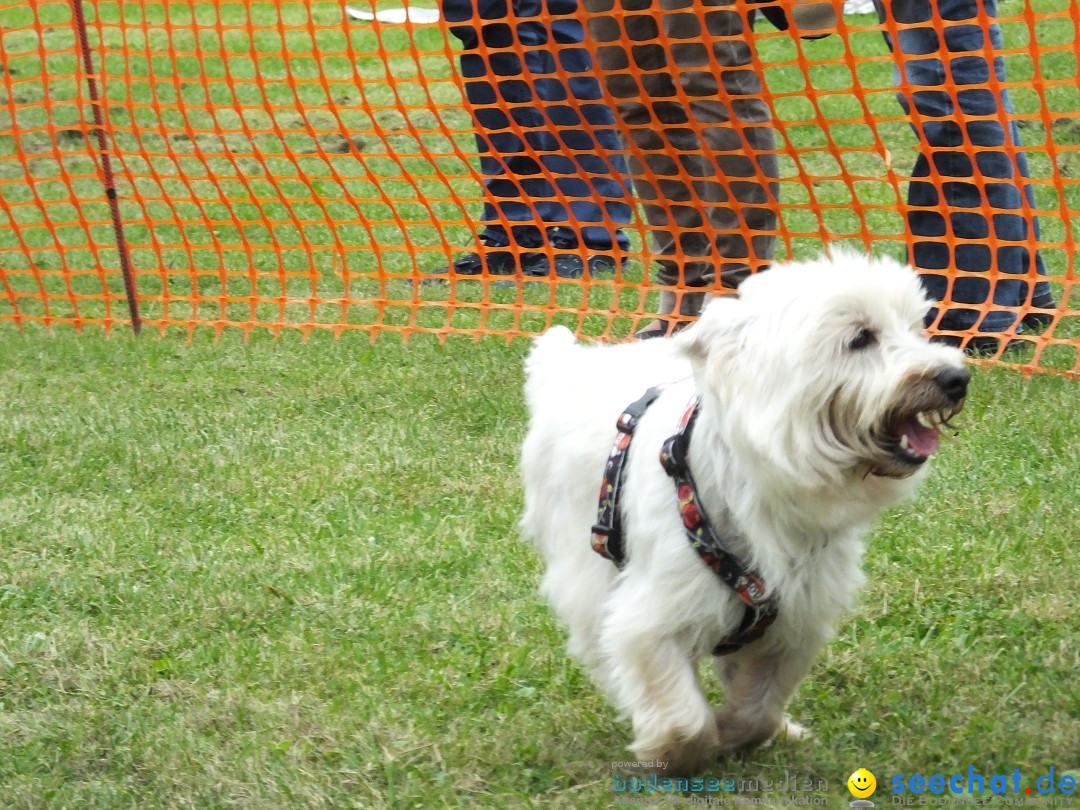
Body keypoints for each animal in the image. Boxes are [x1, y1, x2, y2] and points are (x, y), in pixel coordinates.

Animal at [518, 250, 967, 777]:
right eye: (860, 338)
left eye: (917, 328)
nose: (956, 378)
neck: (759, 489)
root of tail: (567, 366)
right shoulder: (653, 618)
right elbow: (683, 717)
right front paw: (676, 751)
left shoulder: (795, 618)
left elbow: (758, 707)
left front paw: (740, 732)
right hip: (583, 568)